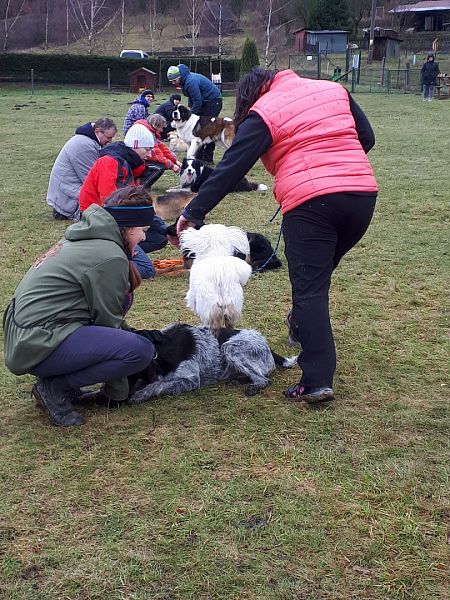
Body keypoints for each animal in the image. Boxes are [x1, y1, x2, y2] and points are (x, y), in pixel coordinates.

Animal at [126, 324, 298, 404]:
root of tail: (269, 348)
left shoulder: (190, 380)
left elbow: (156, 385)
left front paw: (138, 395)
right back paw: (237, 380)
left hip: (231, 347)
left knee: (264, 379)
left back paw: (252, 386)